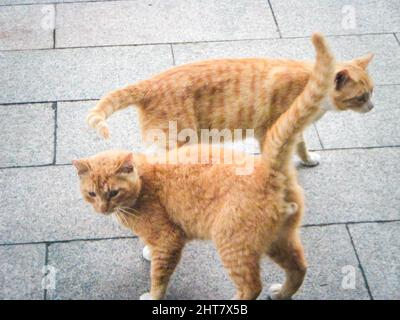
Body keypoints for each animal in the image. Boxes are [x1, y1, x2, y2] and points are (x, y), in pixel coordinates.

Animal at [74, 33, 334, 300]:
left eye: (113, 192)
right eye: (91, 194)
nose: (102, 208)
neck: (143, 187)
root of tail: (269, 169)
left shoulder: (169, 241)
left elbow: (158, 276)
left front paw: (152, 294)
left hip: (232, 243)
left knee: (252, 286)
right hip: (279, 240)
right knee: (299, 268)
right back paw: (282, 293)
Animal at [86, 34, 374, 166]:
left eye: (373, 91)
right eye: (361, 97)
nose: (373, 107)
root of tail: (151, 82)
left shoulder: (295, 128)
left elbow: (301, 146)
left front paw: (307, 160)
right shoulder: (270, 130)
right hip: (178, 140)